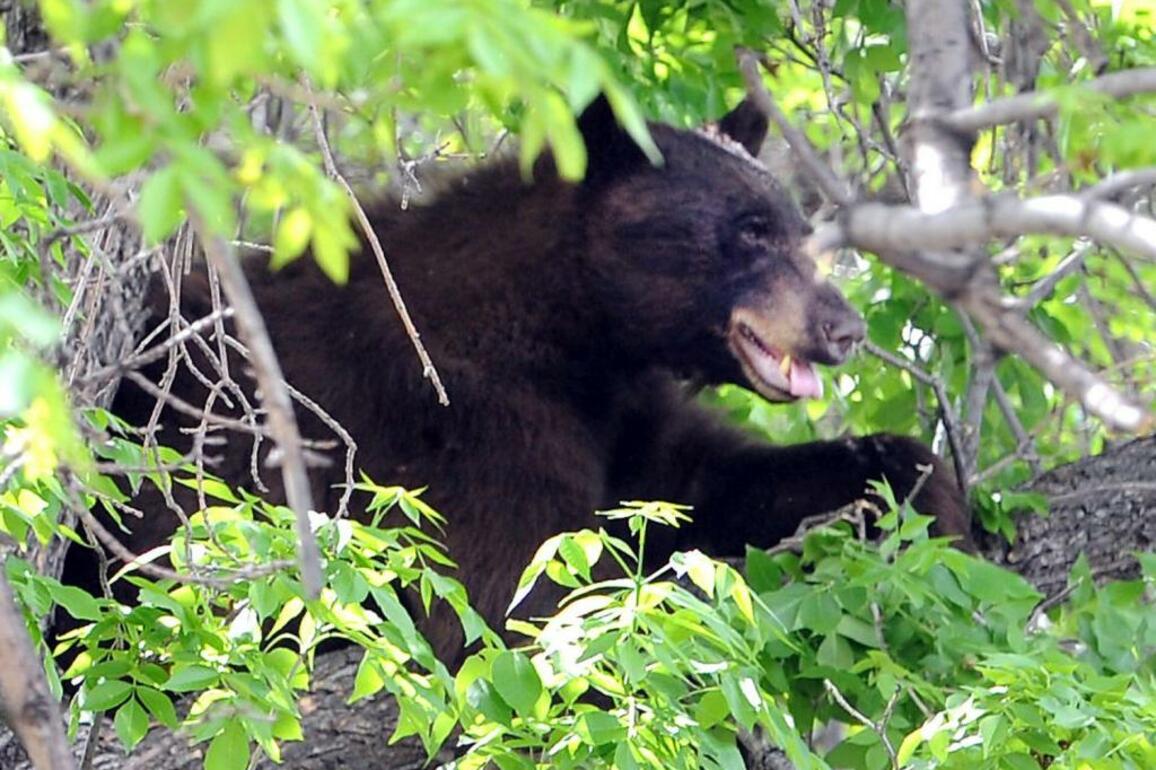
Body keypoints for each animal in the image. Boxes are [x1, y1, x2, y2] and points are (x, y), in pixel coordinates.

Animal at [79, 94, 971, 666]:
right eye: (750, 231)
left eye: (793, 225)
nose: (843, 327)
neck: (574, 329)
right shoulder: (476, 419)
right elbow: (512, 592)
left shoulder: (628, 416)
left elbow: (708, 486)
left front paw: (934, 504)